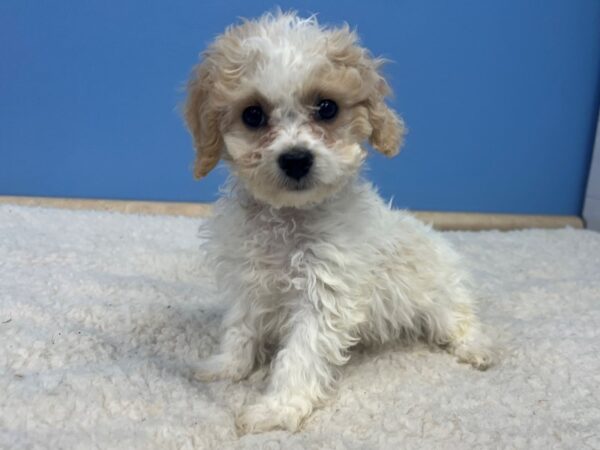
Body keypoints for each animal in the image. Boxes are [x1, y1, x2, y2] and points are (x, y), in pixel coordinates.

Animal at [185, 10, 494, 432]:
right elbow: (240, 327)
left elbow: (299, 355)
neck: (289, 218)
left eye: (327, 108)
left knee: (462, 320)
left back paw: (477, 348)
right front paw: (226, 367)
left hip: (439, 297)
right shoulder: (248, 280)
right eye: (253, 115)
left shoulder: (325, 293)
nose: (296, 159)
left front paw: (278, 408)